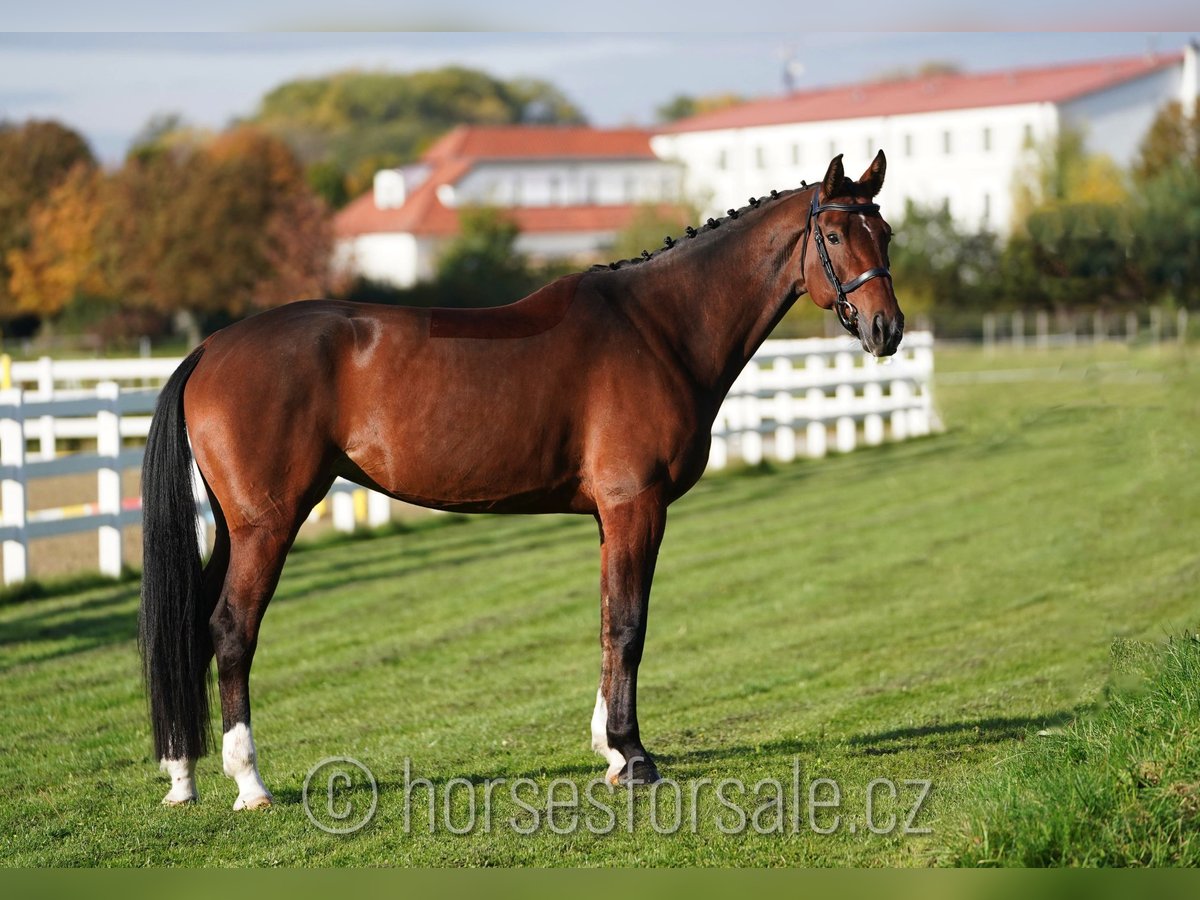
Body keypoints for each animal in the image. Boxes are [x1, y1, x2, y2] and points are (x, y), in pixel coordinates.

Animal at [140, 150, 902, 811]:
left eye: (886, 232)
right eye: (835, 233)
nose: (887, 328)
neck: (660, 329)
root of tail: (210, 349)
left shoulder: (610, 517)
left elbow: (606, 619)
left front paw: (609, 751)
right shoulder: (636, 506)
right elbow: (629, 624)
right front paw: (635, 756)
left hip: (232, 527)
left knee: (192, 626)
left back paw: (183, 776)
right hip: (267, 524)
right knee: (231, 628)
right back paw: (249, 782)